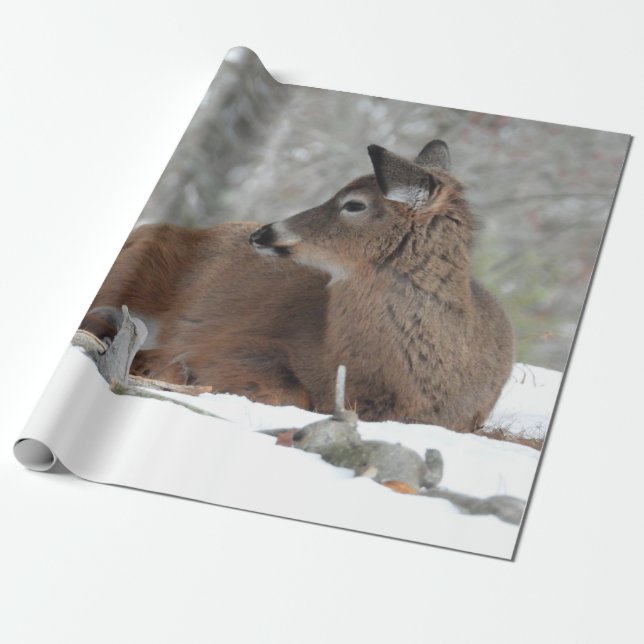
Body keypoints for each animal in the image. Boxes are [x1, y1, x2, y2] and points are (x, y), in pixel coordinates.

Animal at [80, 140, 514, 433]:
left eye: (354, 204)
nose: (263, 232)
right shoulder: (242, 343)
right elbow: (288, 391)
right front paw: (173, 368)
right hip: (134, 261)